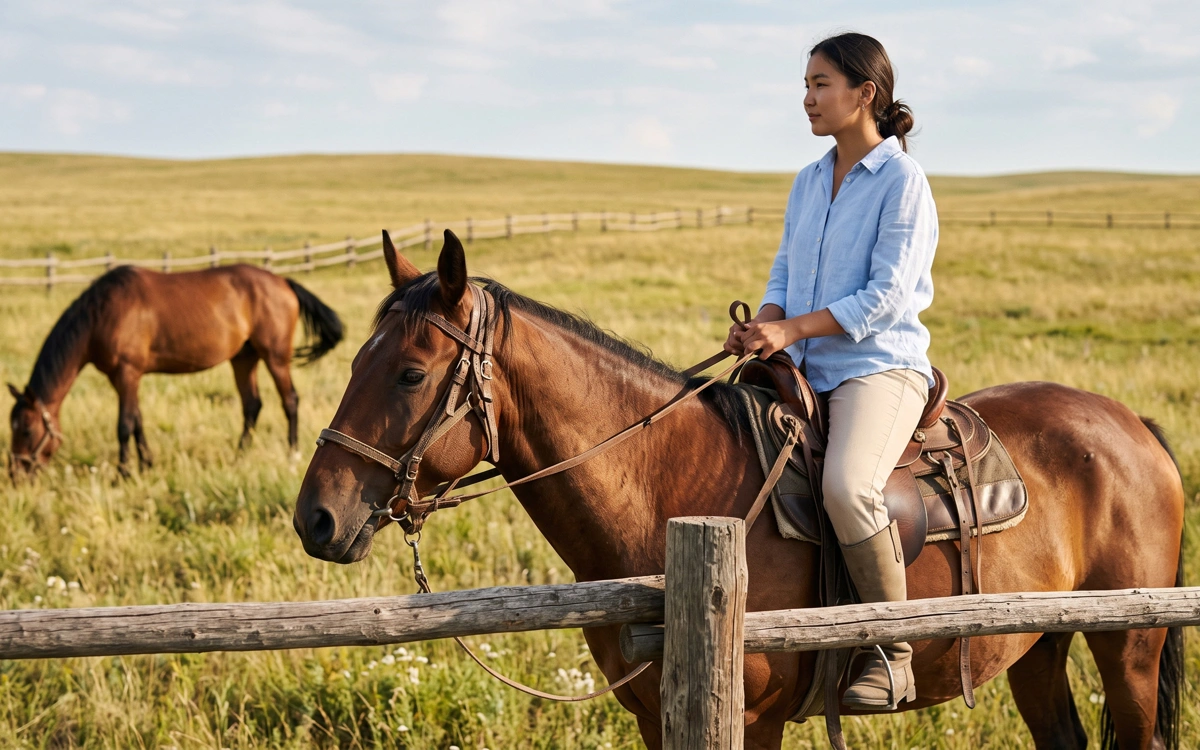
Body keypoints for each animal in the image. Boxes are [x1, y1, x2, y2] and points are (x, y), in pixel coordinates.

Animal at [8, 264, 344, 480]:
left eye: (26, 430)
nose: (15, 474)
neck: (100, 314)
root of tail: (282, 281)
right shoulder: (124, 378)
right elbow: (138, 421)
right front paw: (146, 465)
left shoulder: (127, 374)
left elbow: (124, 425)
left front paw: (123, 473)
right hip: (243, 358)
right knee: (252, 405)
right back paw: (240, 456)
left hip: (275, 357)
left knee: (290, 401)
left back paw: (292, 456)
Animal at [293, 230, 1184, 750]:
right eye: (354, 359)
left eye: (411, 373)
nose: (317, 519)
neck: (667, 492)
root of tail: (1131, 426)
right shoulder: (654, 714)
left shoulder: (752, 720)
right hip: (1038, 645)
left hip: (1129, 648)